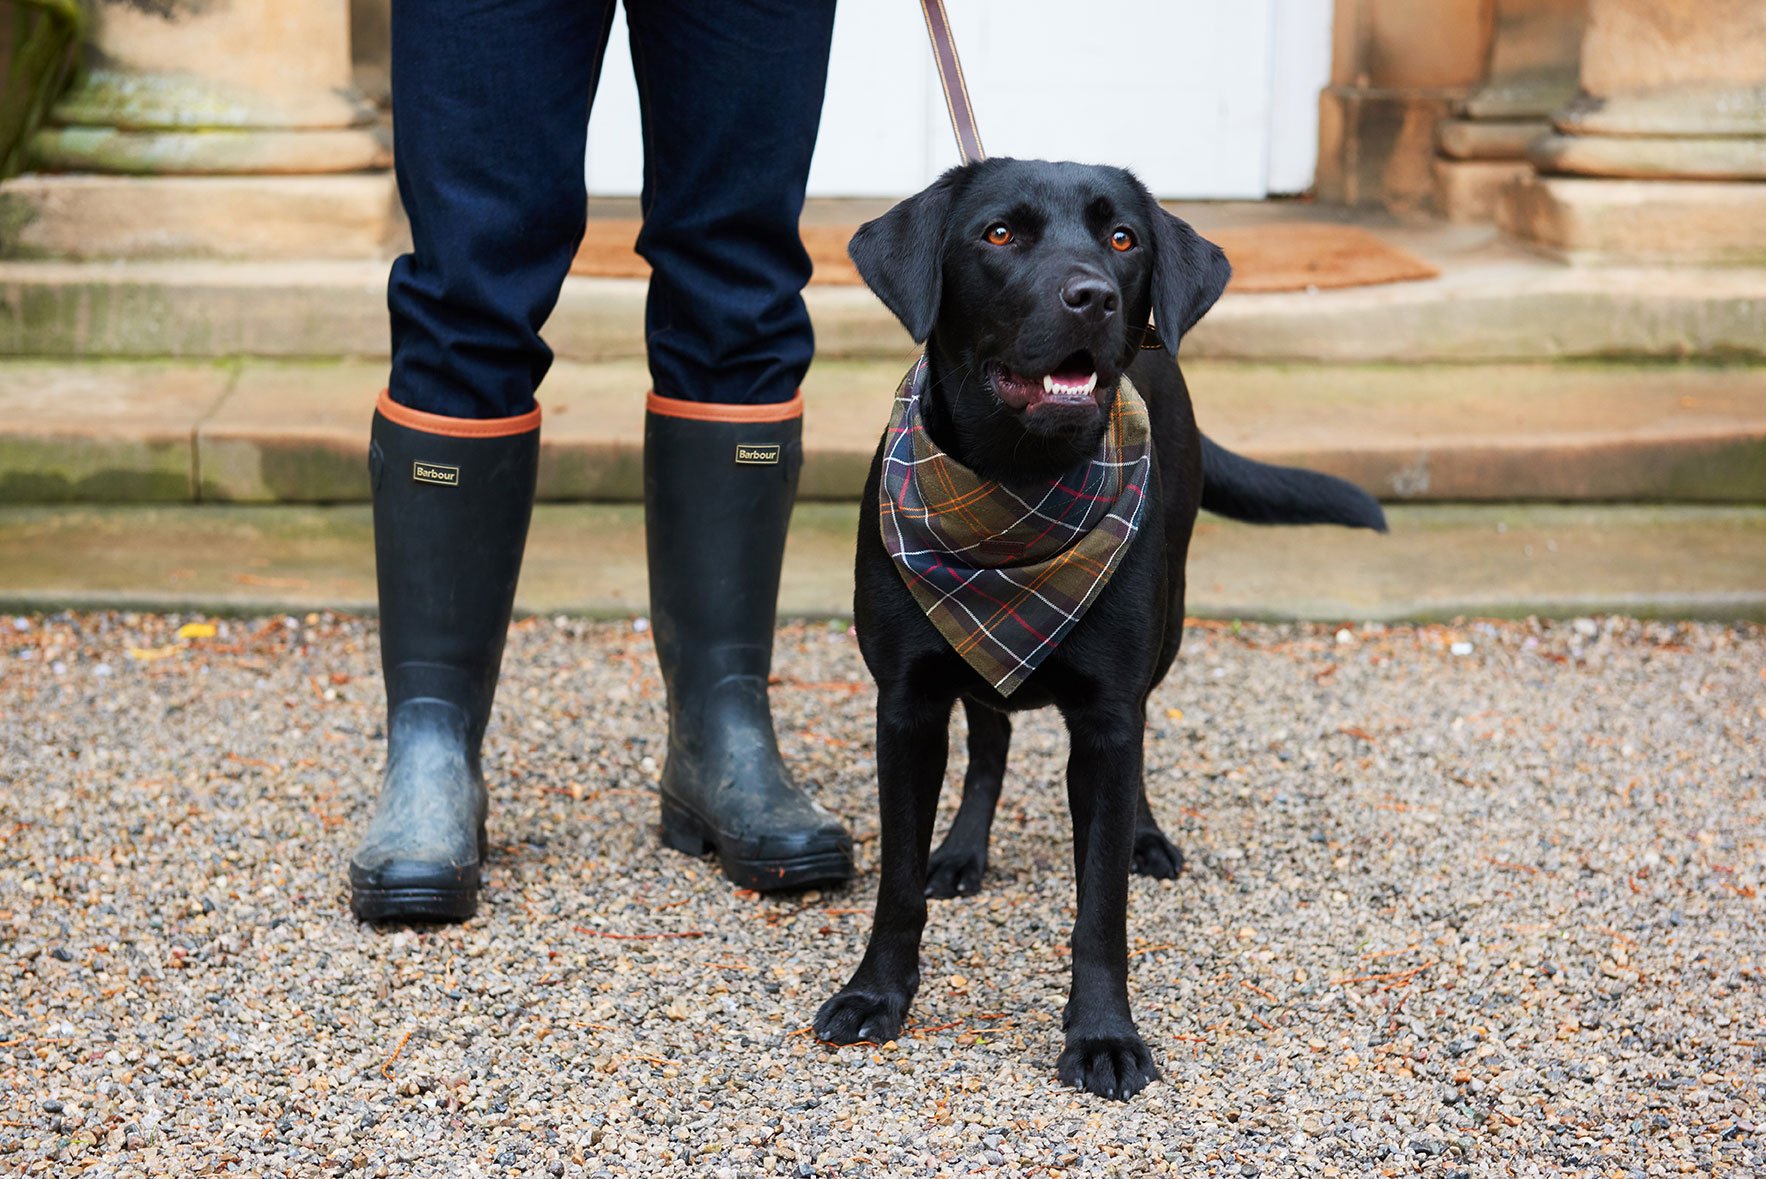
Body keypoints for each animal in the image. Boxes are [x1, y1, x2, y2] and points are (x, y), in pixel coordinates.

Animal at [815, 156, 1391, 1094]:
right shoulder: (904, 703)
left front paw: (1102, 1034)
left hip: (1168, 626)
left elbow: (1100, 906)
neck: (1017, 485)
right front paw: (876, 992)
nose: (1093, 296)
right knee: (992, 739)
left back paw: (1145, 839)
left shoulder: (1108, 716)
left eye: (1123, 237)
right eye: (999, 233)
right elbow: (896, 878)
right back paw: (961, 850)